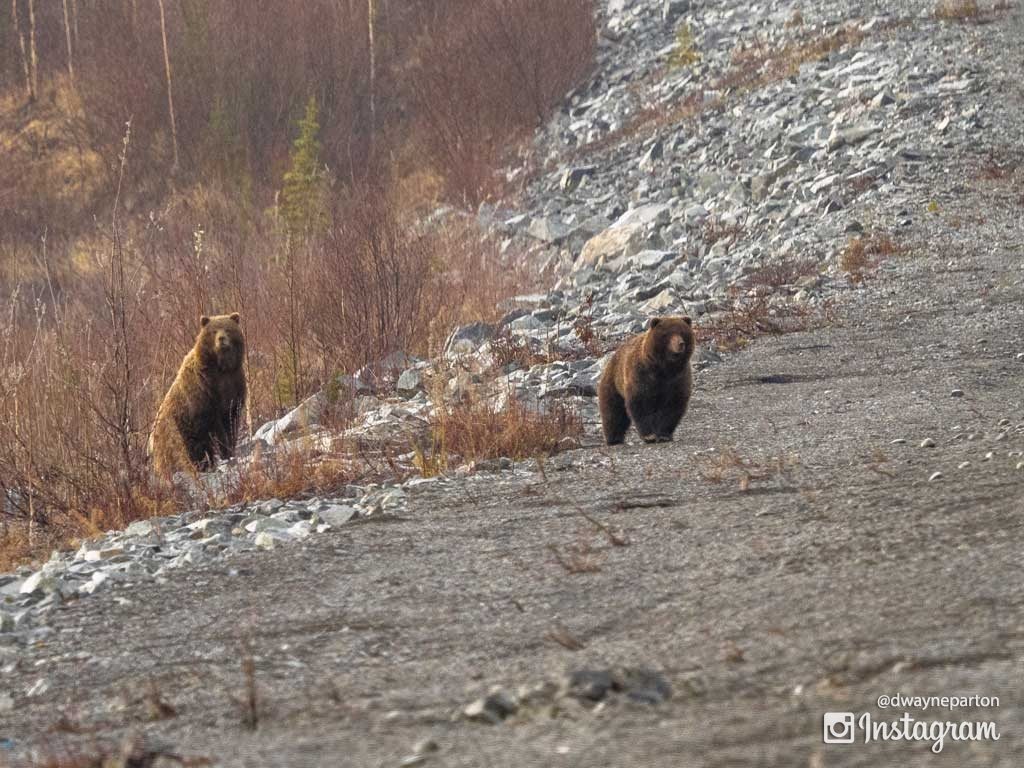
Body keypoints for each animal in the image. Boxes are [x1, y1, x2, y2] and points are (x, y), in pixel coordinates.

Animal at [149, 313, 246, 475]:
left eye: (227, 328)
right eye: (213, 331)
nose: (221, 339)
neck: (221, 368)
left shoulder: (234, 385)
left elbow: (232, 420)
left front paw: (231, 448)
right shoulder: (204, 394)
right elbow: (218, 427)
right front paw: (226, 451)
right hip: (176, 434)